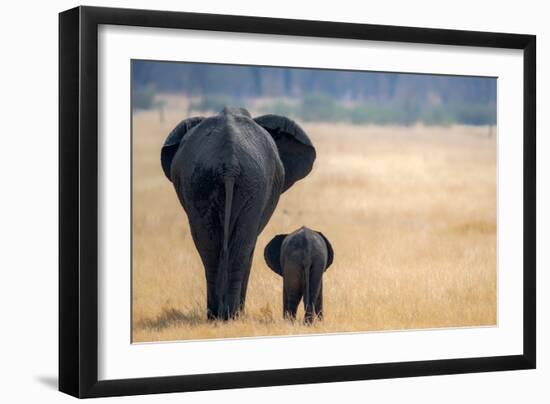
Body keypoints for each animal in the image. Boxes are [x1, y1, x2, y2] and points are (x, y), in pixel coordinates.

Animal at [162, 106, 316, 318]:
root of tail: (230, 163)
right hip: (245, 183)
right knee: (241, 247)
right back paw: (231, 314)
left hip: (205, 181)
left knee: (210, 245)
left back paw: (217, 314)